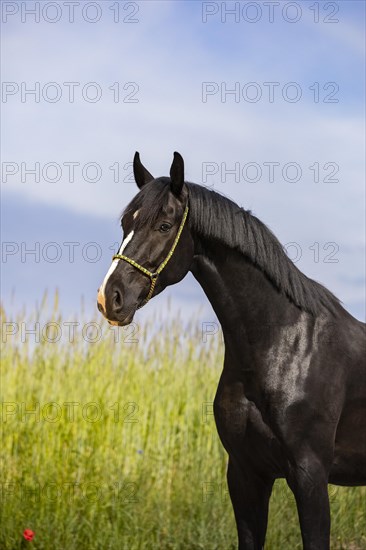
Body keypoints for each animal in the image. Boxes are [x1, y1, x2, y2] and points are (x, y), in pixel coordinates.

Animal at [98, 152, 366, 550]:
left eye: (164, 225)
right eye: (125, 223)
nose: (109, 299)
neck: (284, 348)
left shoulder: (310, 477)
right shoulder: (245, 474)